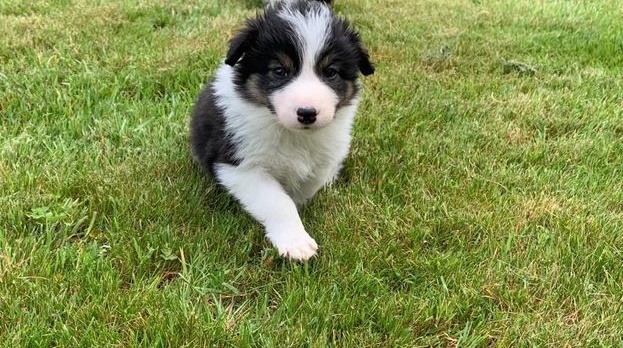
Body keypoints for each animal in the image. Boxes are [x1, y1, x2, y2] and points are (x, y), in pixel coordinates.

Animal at [190, 0, 372, 260]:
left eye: (331, 72)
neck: (292, 133)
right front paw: (296, 242)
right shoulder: (241, 166)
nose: (307, 113)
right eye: (279, 71)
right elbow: (278, 202)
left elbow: (308, 185)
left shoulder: (324, 155)